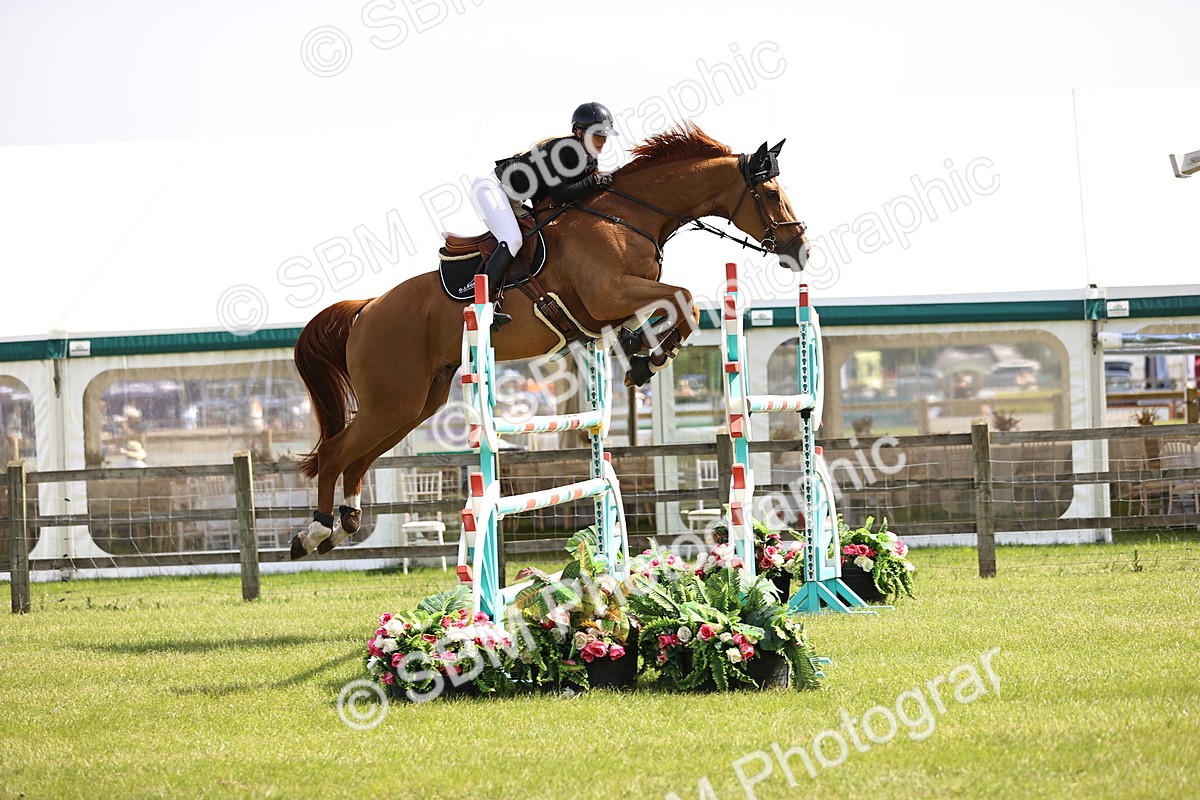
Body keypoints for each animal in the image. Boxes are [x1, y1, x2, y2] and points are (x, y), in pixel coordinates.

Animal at [289, 122, 809, 560]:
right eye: (769, 193)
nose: (800, 249)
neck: (626, 216)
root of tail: (366, 309)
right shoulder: (609, 292)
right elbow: (685, 300)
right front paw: (649, 359)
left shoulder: (612, 303)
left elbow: (669, 307)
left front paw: (640, 352)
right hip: (392, 399)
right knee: (336, 453)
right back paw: (314, 532)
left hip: (415, 402)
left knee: (360, 456)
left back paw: (346, 521)